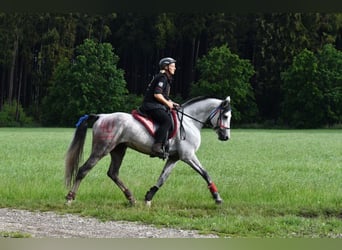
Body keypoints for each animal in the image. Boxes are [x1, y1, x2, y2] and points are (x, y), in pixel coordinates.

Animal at [65, 95, 231, 205]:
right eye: (225, 115)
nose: (226, 137)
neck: (189, 122)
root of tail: (101, 116)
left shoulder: (175, 157)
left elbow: (163, 178)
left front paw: (149, 197)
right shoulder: (188, 156)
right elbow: (205, 173)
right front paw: (217, 197)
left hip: (118, 150)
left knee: (113, 173)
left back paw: (131, 198)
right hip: (102, 149)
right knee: (83, 170)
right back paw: (70, 198)